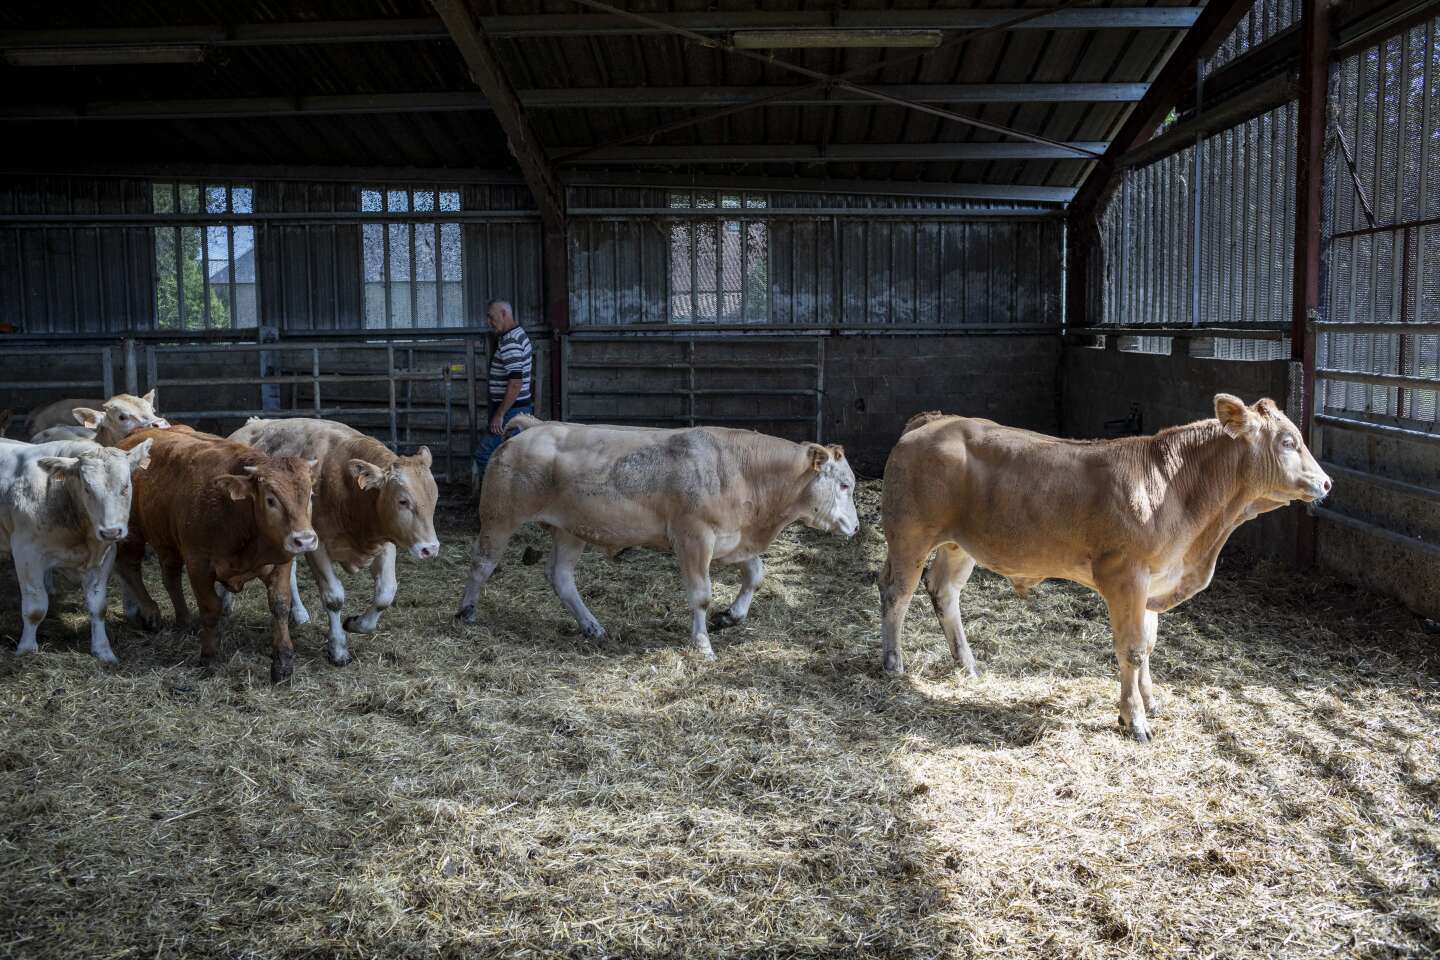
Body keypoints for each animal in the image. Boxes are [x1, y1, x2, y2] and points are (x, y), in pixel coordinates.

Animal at [0, 440, 153, 664]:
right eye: (87, 489)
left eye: (125, 487)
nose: (110, 531)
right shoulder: (26, 553)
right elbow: (35, 608)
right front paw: (26, 650)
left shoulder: (104, 557)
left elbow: (98, 608)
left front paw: (103, 651)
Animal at [114, 426, 318, 682]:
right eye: (271, 499)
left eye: (310, 495)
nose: (305, 540)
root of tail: (137, 432)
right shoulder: (198, 564)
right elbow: (210, 607)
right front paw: (209, 656)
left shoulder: (281, 561)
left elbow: (280, 605)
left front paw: (283, 662)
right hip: (132, 530)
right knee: (130, 568)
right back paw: (151, 612)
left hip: (167, 539)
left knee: (170, 577)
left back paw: (184, 620)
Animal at [227, 420, 440, 667]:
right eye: (403, 501)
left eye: (434, 498)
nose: (430, 548)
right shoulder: (316, 546)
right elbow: (334, 597)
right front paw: (338, 649)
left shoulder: (385, 542)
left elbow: (386, 592)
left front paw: (357, 623)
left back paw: (299, 614)